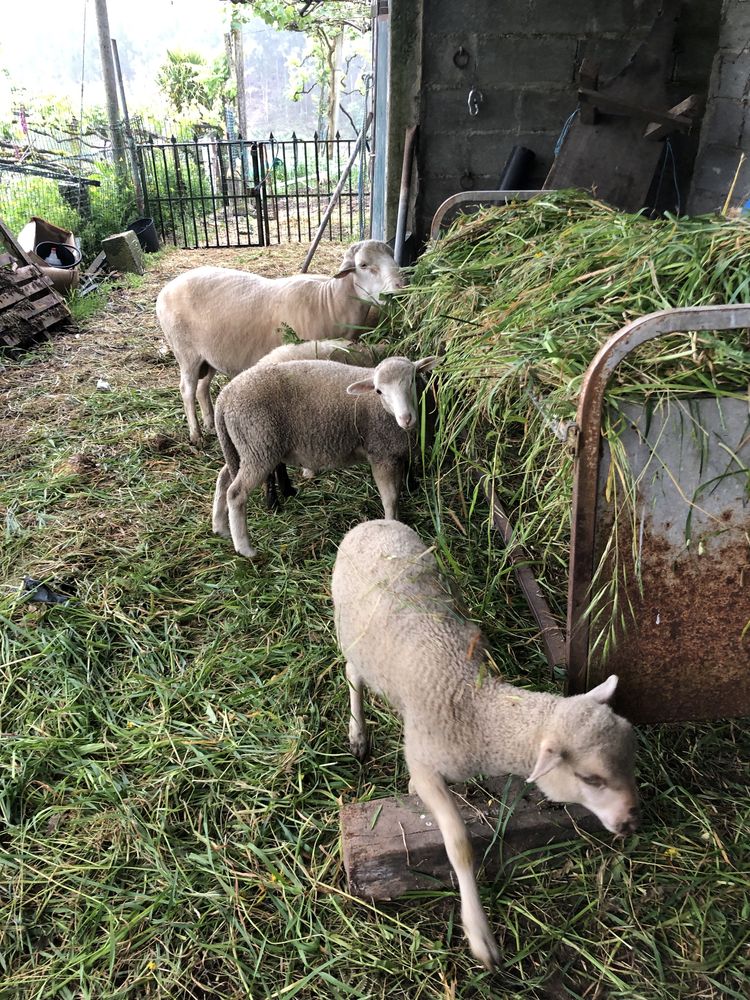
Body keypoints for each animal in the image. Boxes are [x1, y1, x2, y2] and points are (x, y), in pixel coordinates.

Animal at [154, 238, 406, 442]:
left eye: (393, 257)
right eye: (363, 265)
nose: (401, 288)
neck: (329, 301)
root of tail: (166, 289)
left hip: (209, 355)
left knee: (202, 388)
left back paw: (208, 424)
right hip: (186, 353)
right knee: (187, 389)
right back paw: (195, 434)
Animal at [212, 356, 438, 560]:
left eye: (412, 380)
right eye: (379, 391)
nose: (405, 418)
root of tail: (224, 397)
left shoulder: (398, 451)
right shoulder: (381, 453)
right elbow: (390, 497)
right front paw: (393, 524)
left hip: (248, 447)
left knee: (223, 478)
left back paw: (220, 527)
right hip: (259, 445)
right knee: (236, 493)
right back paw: (245, 548)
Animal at [334, 516, 640, 968]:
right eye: (591, 779)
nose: (631, 822)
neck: (475, 705)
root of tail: (373, 523)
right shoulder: (424, 761)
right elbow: (459, 845)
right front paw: (480, 936)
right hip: (350, 633)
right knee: (352, 674)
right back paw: (358, 733)